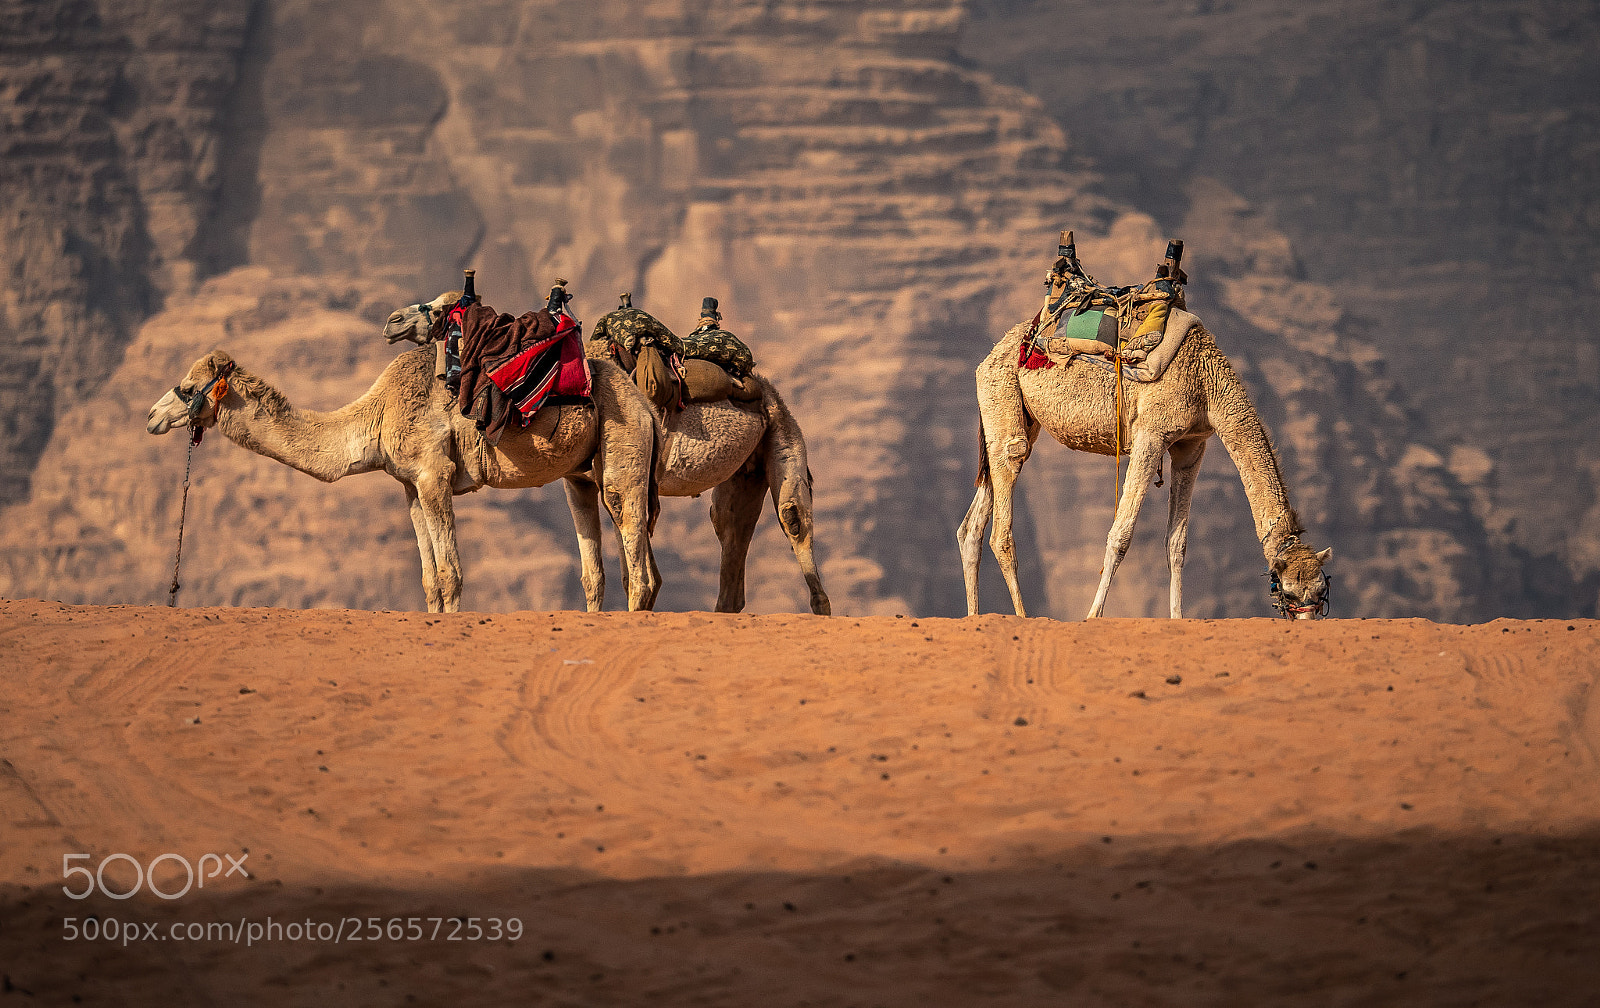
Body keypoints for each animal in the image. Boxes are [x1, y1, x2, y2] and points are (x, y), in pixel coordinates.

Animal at [146, 344, 664, 613]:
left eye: (188, 388)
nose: (151, 417)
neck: (376, 415)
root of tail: (644, 404)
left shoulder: (434, 474)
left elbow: (451, 574)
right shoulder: (410, 486)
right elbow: (431, 578)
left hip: (622, 445)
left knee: (633, 548)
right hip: (583, 470)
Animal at [383, 293, 830, 615]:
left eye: (441, 309)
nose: (393, 321)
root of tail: (762, 385)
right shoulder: (581, 475)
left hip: (783, 430)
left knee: (792, 517)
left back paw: (821, 609)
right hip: (745, 469)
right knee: (728, 529)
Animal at [957, 275, 1333, 620]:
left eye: (1320, 591)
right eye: (1287, 591)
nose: (1306, 621)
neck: (1207, 381)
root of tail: (994, 352)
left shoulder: (1191, 446)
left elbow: (1177, 543)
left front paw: (1178, 618)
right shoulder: (1150, 434)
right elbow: (1120, 534)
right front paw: (1093, 616)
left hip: (1013, 413)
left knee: (972, 526)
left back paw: (975, 616)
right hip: (1003, 395)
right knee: (1004, 507)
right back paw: (1022, 617)